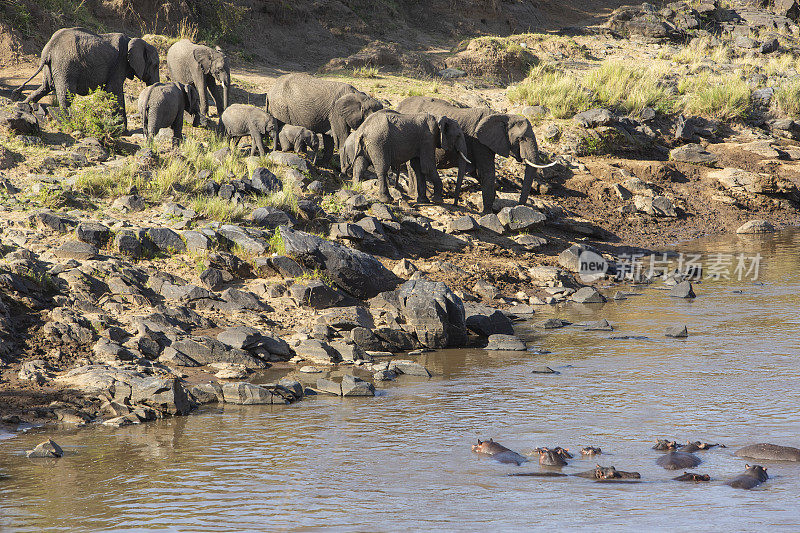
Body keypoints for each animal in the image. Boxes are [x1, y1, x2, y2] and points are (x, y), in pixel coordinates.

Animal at [12, 26, 159, 130]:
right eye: (156, 65)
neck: (134, 40)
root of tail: (48, 49)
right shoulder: (119, 64)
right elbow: (114, 92)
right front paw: (123, 131)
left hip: (52, 66)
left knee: (45, 87)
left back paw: (23, 105)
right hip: (65, 66)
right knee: (66, 95)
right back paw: (68, 124)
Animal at [396, 95, 556, 212]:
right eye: (521, 139)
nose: (518, 206)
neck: (503, 116)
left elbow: (478, 173)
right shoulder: (479, 141)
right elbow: (487, 172)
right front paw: (487, 213)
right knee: (414, 166)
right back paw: (420, 195)